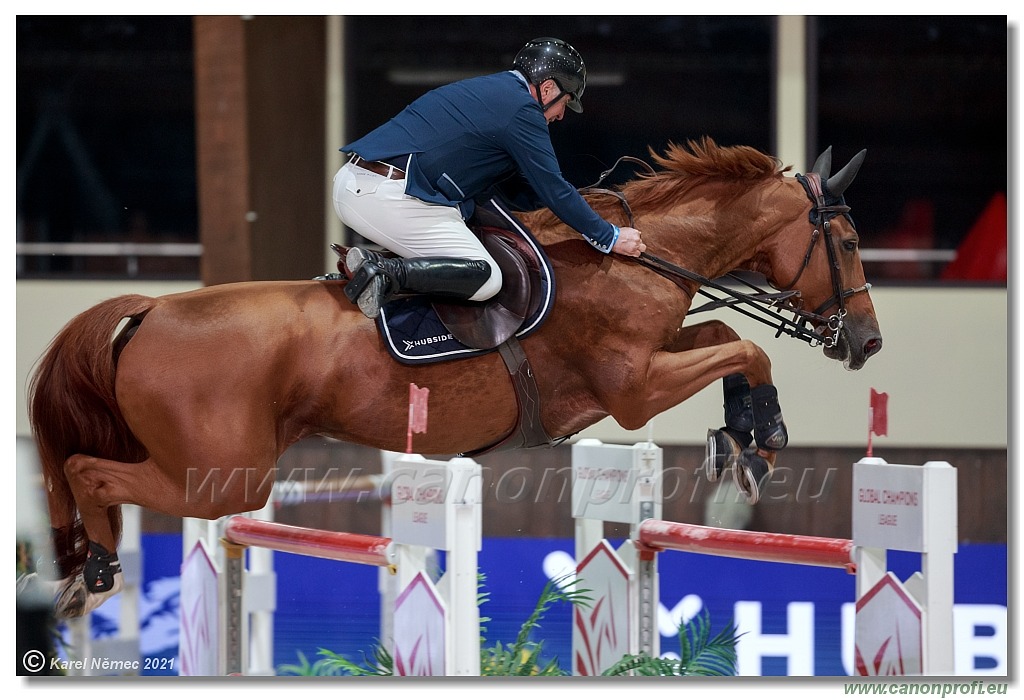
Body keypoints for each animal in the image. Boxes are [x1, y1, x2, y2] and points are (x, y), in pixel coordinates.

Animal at [28, 138, 884, 618]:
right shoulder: (634, 390)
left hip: (211, 472)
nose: (869, 342)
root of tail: (150, 310)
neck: (633, 257)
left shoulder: (658, 359)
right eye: (845, 241)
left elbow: (725, 336)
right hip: (220, 477)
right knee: (88, 470)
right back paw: (91, 570)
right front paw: (760, 439)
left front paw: (741, 437)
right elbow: (747, 349)